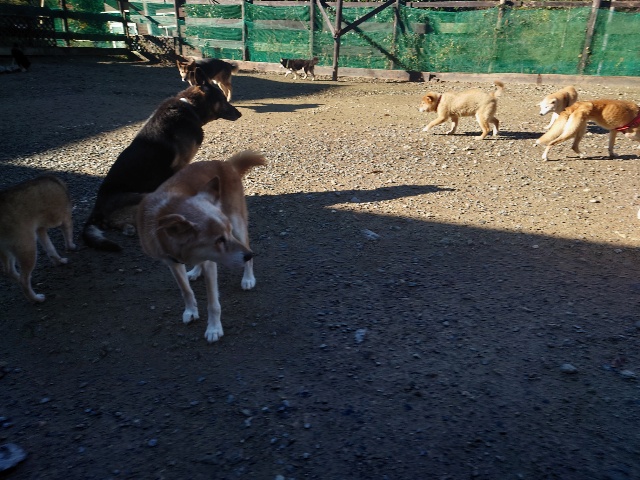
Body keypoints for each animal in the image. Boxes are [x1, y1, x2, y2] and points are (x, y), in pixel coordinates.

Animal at [82, 68, 242, 252]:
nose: (239, 114)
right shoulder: (180, 165)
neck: (191, 107)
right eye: (222, 99)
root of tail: (96, 208)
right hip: (141, 196)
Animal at [137, 151, 266, 343]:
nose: (249, 255)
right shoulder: (171, 262)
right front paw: (191, 311)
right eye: (219, 240)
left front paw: (214, 329)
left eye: (227, 234)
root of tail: (225, 164)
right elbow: (185, 290)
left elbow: (213, 304)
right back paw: (196, 271)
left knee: (245, 243)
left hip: (238, 223)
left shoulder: (211, 262)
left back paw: (248, 278)